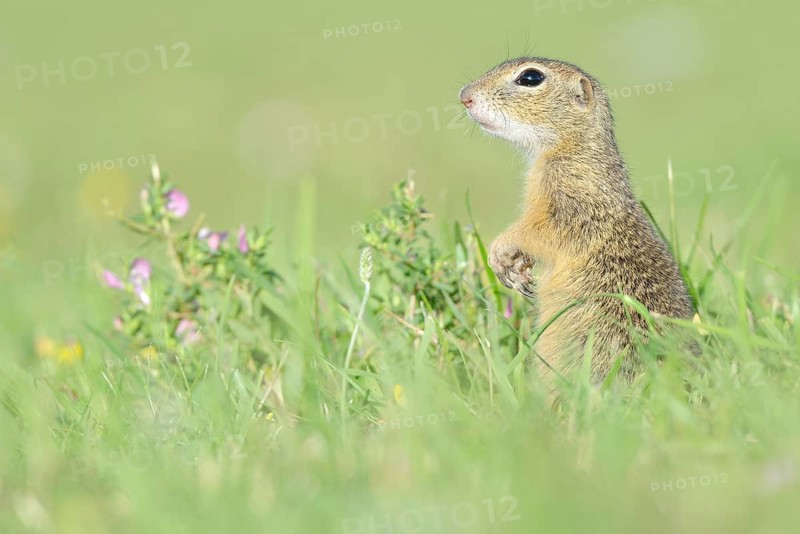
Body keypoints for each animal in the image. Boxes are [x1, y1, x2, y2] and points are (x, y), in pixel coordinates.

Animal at [459, 57, 694, 383]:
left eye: (530, 78)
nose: (464, 96)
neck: (572, 148)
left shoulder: (571, 201)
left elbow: (542, 231)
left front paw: (500, 251)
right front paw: (516, 269)